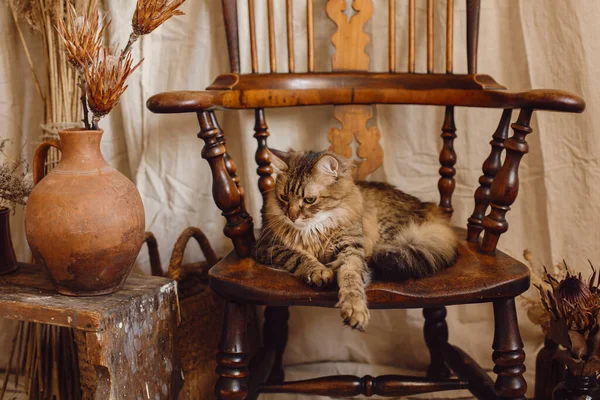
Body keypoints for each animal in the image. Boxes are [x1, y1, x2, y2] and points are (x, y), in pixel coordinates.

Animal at [251, 148, 458, 330]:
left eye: (309, 200)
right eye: (284, 198)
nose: (291, 217)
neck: (314, 229)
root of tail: (431, 209)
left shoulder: (350, 248)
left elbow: (351, 277)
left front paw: (354, 308)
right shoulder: (267, 247)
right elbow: (299, 256)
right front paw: (319, 271)